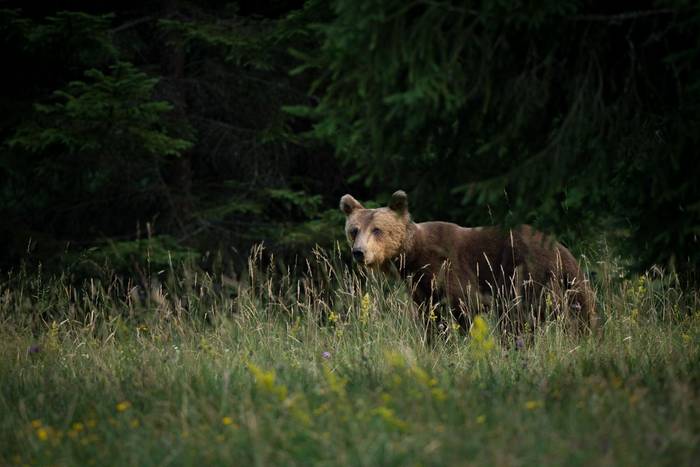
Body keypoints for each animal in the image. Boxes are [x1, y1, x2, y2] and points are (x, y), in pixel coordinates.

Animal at [340, 190, 596, 335]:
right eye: (354, 230)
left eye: (377, 229)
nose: (359, 252)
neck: (411, 255)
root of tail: (561, 249)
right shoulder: (419, 285)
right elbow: (430, 317)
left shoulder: (448, 269)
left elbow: (463, 306)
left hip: (527, 274)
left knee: (528, 314)